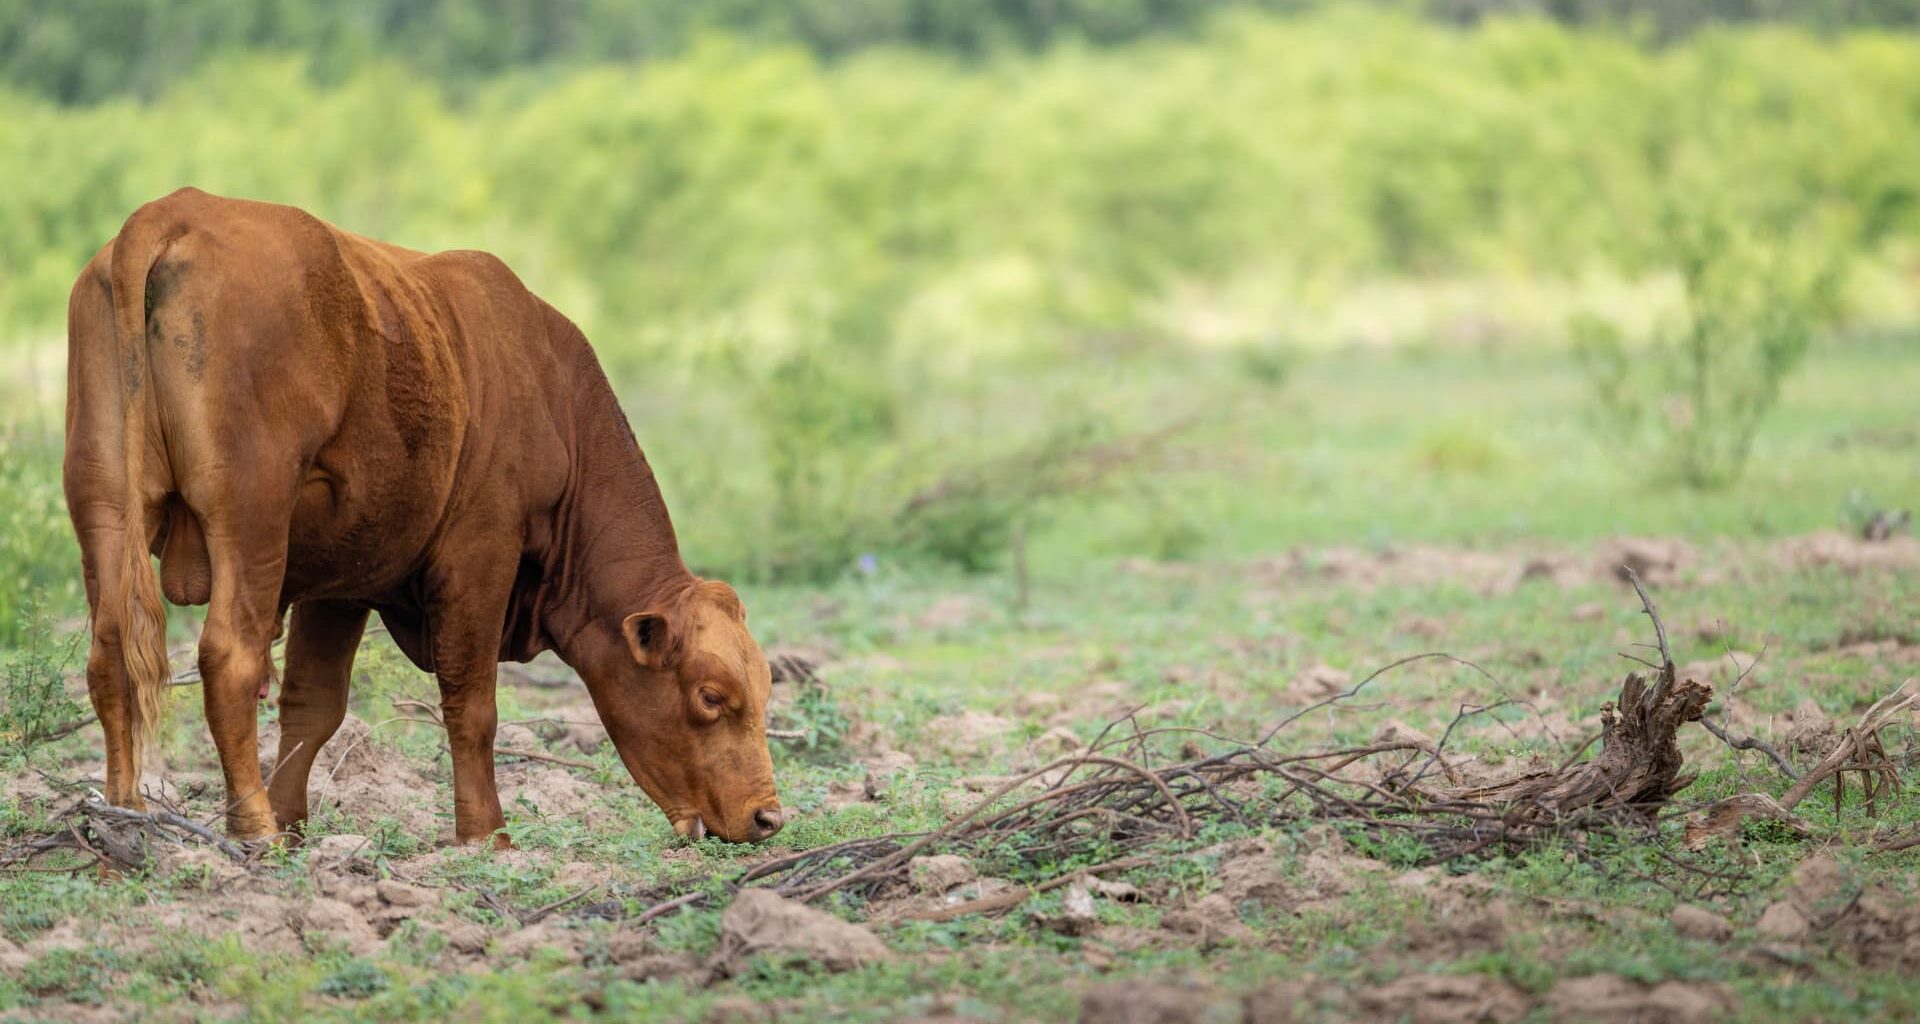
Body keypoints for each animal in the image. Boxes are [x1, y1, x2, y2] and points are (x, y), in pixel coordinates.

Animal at [63, 188, 783, 846]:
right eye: (711, 696)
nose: (768, 817)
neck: (552, 392)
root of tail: (177, 210)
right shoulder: (480, 555)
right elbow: (472, 705)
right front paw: (486, 835)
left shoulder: (341, 581)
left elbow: (312, 706)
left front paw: (295, 821)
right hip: (250, 518)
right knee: (228, 658)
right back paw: (253, 832)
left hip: (103, 508)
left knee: (110, 656)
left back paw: (122, 818)